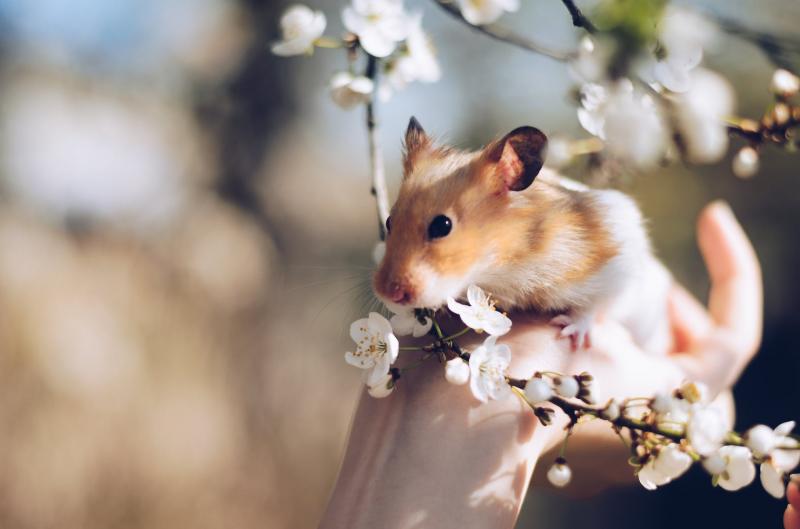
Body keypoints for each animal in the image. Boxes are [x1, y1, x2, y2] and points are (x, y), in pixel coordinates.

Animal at [373, 117, 672, 353]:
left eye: (442, 226)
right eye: (389, 221)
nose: (387, 293)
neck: (504, 265)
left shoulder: (618, 262)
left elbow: (595, 305)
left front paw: (569, 332)